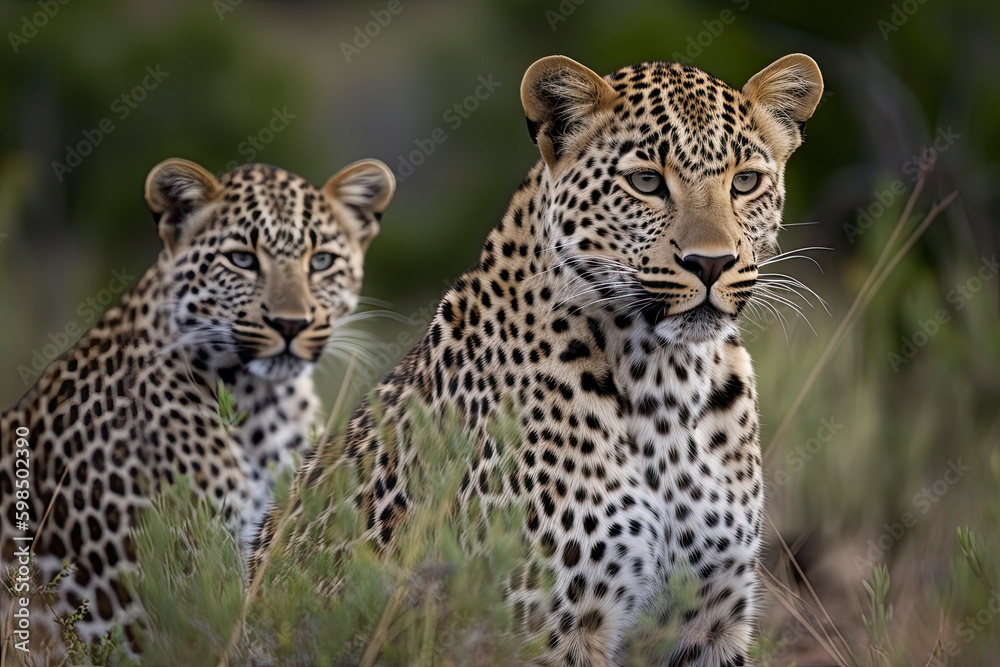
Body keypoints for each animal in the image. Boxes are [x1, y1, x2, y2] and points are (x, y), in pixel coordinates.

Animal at [257, 53, 823, 666]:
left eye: (745, 182)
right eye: (647, 182)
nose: (712, 263)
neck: (666, 381)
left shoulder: (710, 619)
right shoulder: (548, 622)